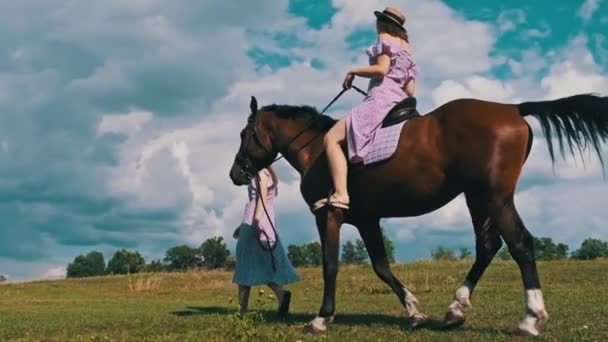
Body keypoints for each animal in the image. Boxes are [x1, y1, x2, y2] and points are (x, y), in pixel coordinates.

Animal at [228, 91, 608, 336]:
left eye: (246, 134)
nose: (235, 173)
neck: (317, 148)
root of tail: (513, 109)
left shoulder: (329, 215)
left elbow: (330, 266)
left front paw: (323, 318)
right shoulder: (367, 220)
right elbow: (381, 266)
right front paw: (414, 311)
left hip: (496, 198)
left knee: (520, 244)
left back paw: (530, 318)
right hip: (477, 198)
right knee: (488, 247)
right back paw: (455, 310)